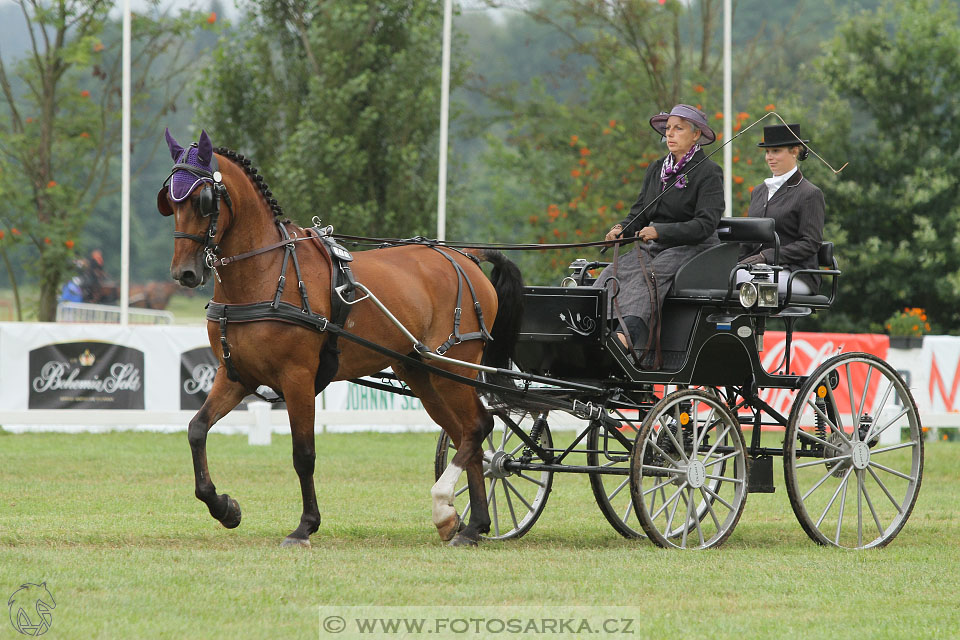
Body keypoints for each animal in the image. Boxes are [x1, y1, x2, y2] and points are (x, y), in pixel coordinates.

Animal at [159, 129, 524, 544]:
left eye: (204, 201)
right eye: (170, 200)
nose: (185, 273)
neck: (267, 272)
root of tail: (466, 257)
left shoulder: (298, 377)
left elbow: (303, 454)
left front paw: (305, 525)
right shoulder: (236, 375)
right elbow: (196, 429)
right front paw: (224, 507)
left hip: (453, 367)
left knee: (478, 426)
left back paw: (447, 504)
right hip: (422, 372)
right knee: (465, 434)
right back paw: (471, 523)